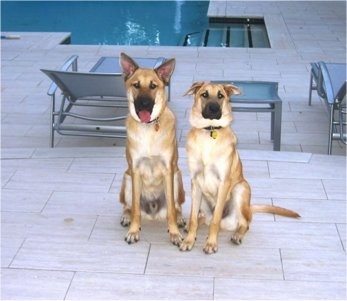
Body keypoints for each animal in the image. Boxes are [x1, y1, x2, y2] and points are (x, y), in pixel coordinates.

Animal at [119, 52, 186, 245]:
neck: (148, 128)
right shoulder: (134, 171)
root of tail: (153, 210)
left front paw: (174, 233)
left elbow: (171, 209)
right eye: (136, 85)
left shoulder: (168, 170)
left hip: (178, 177)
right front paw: (134, 231)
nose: (144, 104)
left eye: (153, 86)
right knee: (128, 206)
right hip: (126, 179)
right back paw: (126, 217)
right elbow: (134, 208)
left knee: (176, 206)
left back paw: (180, 218)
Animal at [181, 81, 300, 253]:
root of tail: (249, 208)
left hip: (241, 188)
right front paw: (189, 240)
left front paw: (211, 243)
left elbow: (216, 220)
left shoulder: (224, 182)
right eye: (204, 94)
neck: (210, 133)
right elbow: (193, 219)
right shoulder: (195, 182)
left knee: (243, 223)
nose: (214, 109)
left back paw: (237, 235)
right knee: (202, 217)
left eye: (220, 95)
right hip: (202, 196)